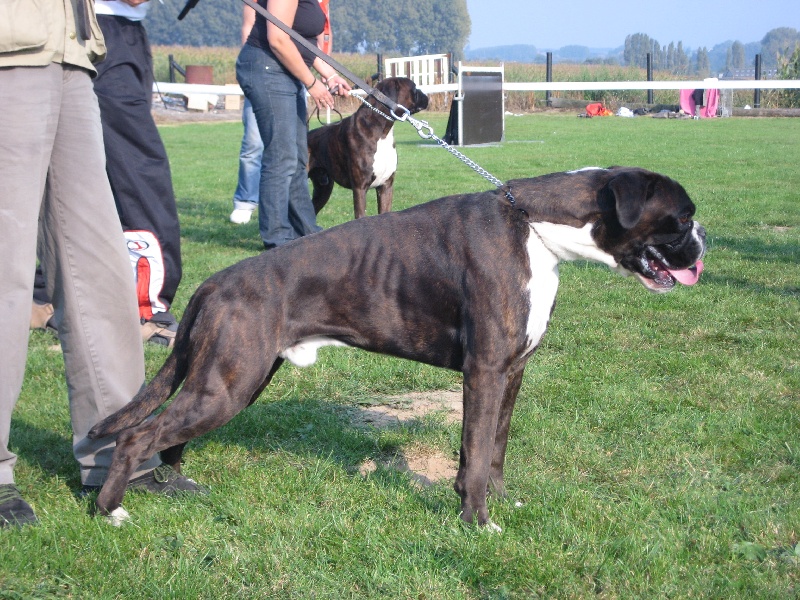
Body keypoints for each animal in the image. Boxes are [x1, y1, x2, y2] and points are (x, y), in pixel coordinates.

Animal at [89, 166, 708, 528]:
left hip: (233, 379)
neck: (535, 226)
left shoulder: (511, 374)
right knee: (138, 435)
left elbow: (492, 450)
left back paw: (175, 484)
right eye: (682, 219)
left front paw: (494, 503)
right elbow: (477, 452)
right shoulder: (484, 373)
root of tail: (214, 282)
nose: (704, 245)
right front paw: (478, 523)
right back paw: (110, 510)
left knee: (169, 434)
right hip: (227, 384)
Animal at [308, 76, 432, 219]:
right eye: (415, 88)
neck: (382, 132)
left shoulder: (386, 186)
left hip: (323, 189)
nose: (426, 96)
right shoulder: (360, 188)